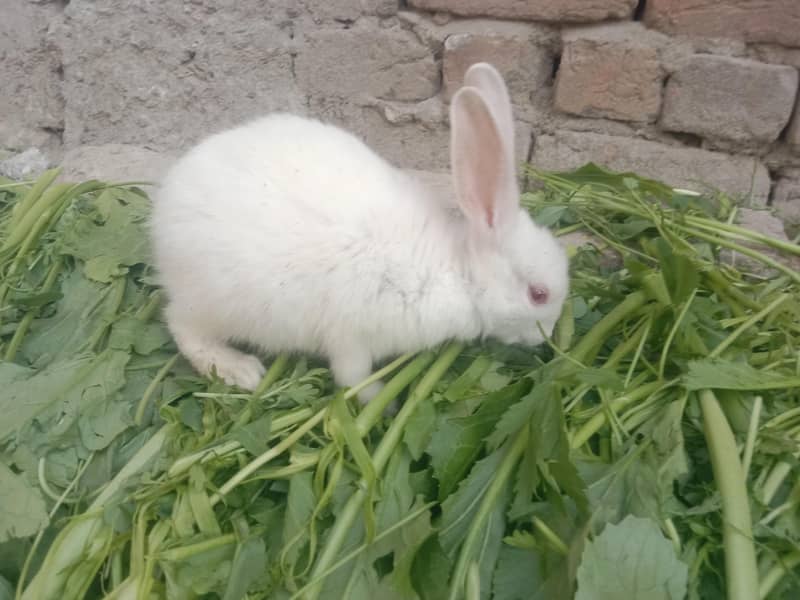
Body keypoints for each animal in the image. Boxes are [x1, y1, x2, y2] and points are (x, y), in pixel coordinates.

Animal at [150, 62, 569, 402]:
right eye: (539, 294)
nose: (546, 337)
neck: (459, 273)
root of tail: (163, 211)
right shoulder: (351, 336)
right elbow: (353, 377)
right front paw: (382, 400)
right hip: (217, 302)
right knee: (180, 325)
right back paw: (240, 370)